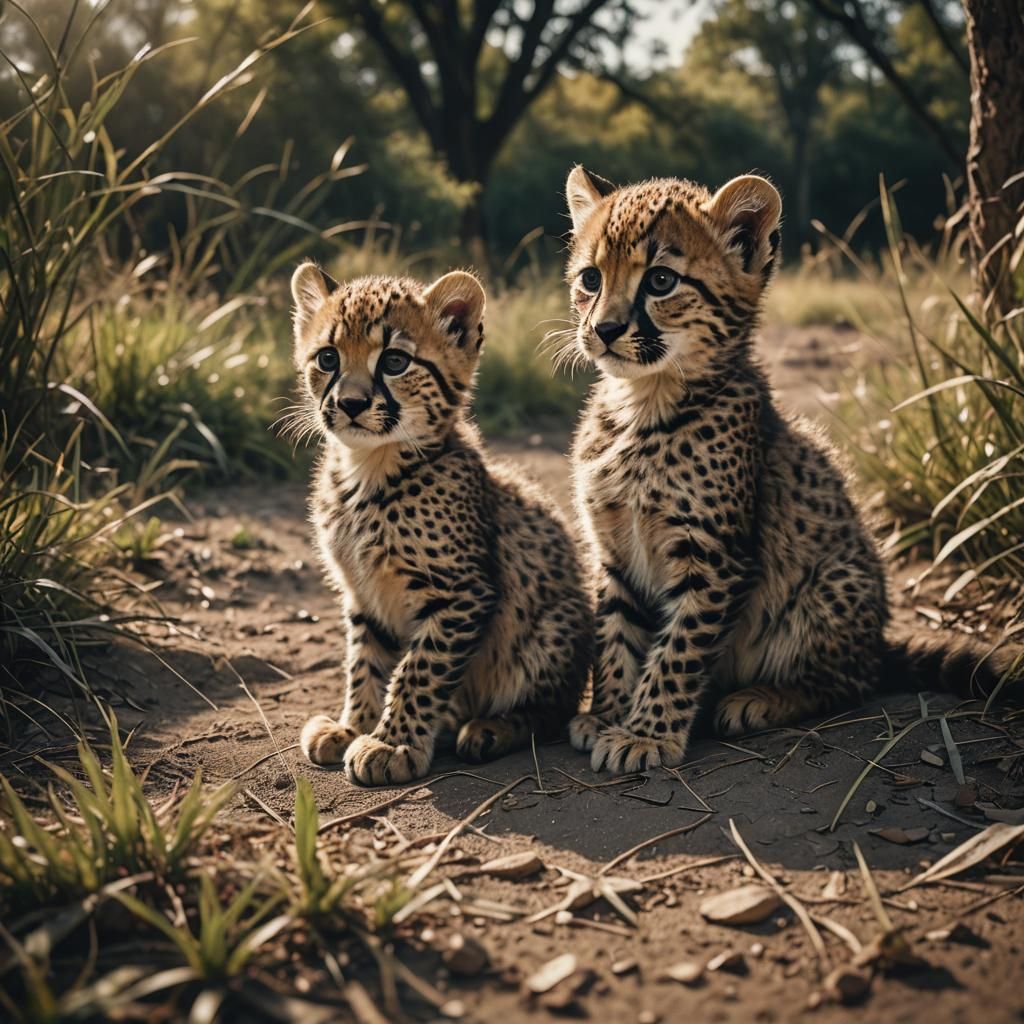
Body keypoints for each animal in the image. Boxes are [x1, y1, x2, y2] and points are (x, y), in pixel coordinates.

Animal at [290, 263, 592, 786]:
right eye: (328, 358)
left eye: (394, 362)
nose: (350, 403)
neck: (367, 470)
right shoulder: (364, 594)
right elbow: (365, 664)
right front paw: (355, 727)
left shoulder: (462, 592)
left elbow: (418, 670)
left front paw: (392, 744)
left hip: (555, 622)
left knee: (551, 711)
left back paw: (491, 728)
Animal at [561, 165, 1019, 775]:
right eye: (590, 278)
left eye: (660, 281)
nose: (605, 329)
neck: (642, 404)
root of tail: (876, 640)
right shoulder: (612, 549)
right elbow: (615, 637)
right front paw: (609, 713)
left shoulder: (714, 558)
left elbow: (678, 650)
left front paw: (648, 732)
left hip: (827, 584)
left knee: (852, 681)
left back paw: (760, 699)